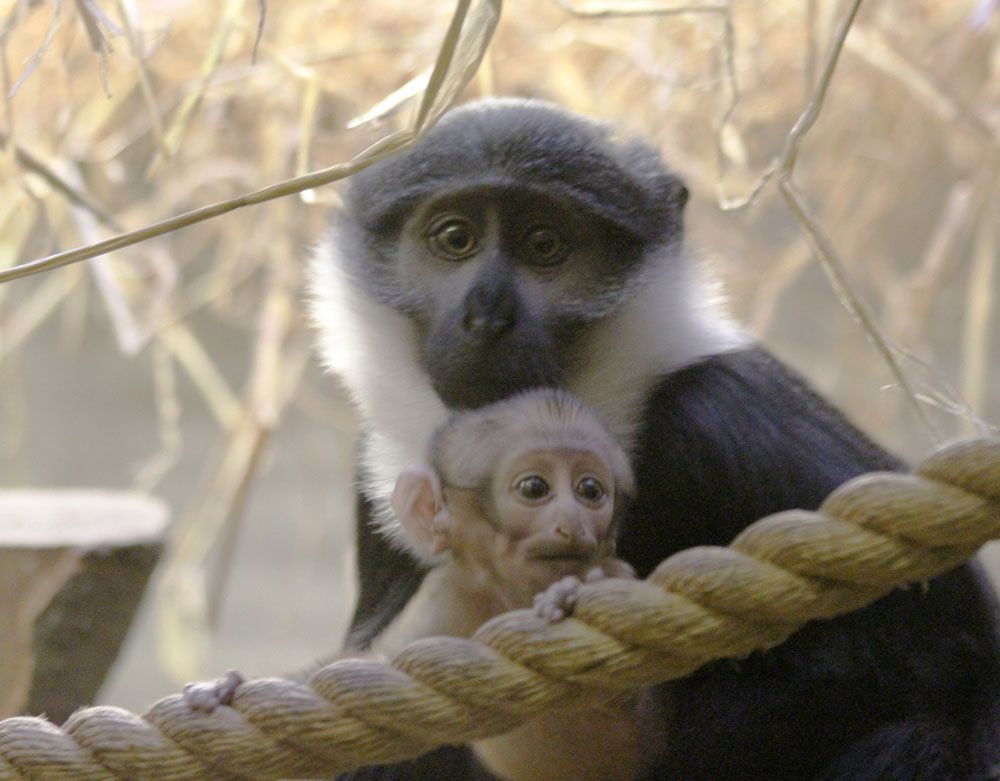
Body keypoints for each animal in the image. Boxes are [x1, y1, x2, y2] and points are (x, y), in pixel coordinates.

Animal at [309, 98, 1000, 779]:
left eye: (545, 243)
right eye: (455, 238)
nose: (488, 312)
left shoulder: (719, 412)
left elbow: (948, 639)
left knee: (920, 738)